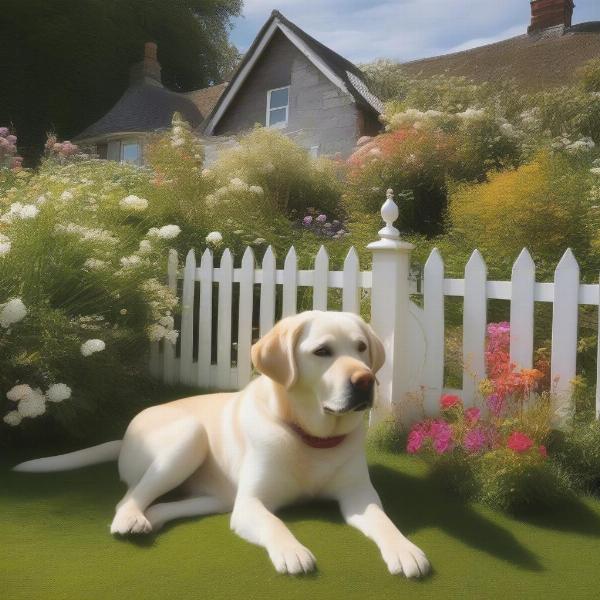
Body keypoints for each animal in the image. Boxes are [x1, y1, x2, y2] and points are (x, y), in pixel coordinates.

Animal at [11, 310, 428, 576]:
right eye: (322, 351)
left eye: (360, 348)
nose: (365, 381)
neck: (311, 438)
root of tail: (126, 433)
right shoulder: (250, 504)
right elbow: (275, 523)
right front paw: (292, 551)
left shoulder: (358, 496)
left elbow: (383, 521)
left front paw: (404, 549)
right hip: (189, 436)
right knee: (130, 496)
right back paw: (130, 519)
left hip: (218, 496)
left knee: (164, 504)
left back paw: (151, 519)